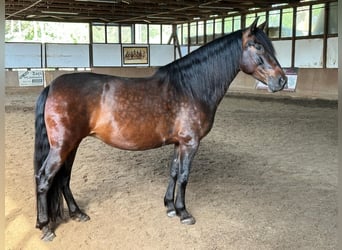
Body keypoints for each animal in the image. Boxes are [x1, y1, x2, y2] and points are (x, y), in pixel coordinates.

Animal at [34, 18, 288, 241]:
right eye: (257, 46)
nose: (282, 81)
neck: (190, 87)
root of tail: (52, 86)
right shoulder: (190, 143)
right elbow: (184, 176)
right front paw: (184, 212)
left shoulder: (179, 143)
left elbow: (174, 172)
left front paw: (169, 207)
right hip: (63, 146)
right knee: (45, 177)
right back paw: (45, 227)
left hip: (72, 145)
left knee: (64, 178)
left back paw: (77, 213)